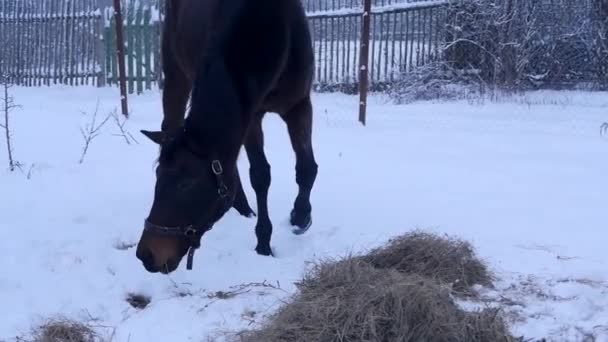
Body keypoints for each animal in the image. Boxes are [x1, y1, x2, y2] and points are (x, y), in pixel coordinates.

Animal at [136, 0, 320, 274]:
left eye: (187, 183)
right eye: (157, 175)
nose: (146, 255)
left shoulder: (298, 104)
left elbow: (306, 166)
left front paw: (300, 217)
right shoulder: (251, 115)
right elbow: (261, 175)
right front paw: (263, 242)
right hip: (175, 72)